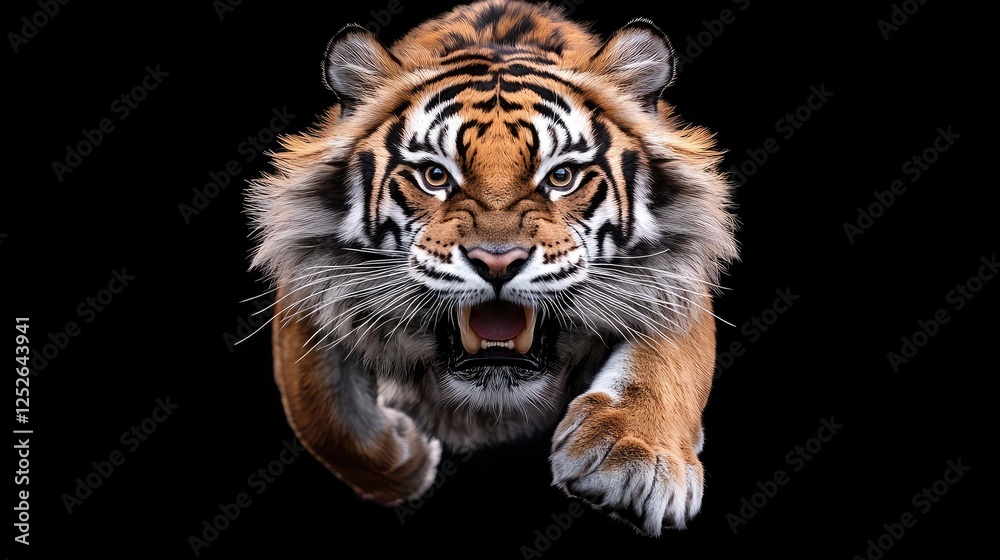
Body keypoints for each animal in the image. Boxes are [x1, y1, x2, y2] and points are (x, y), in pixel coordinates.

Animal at [245, 0, 737, 536]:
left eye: (561, 176)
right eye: (434, 176)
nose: (497, 261)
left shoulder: (680, 266)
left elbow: (668, 361)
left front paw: (634, 459)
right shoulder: (309, 281)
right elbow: (320, 411)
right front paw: (410, 460)